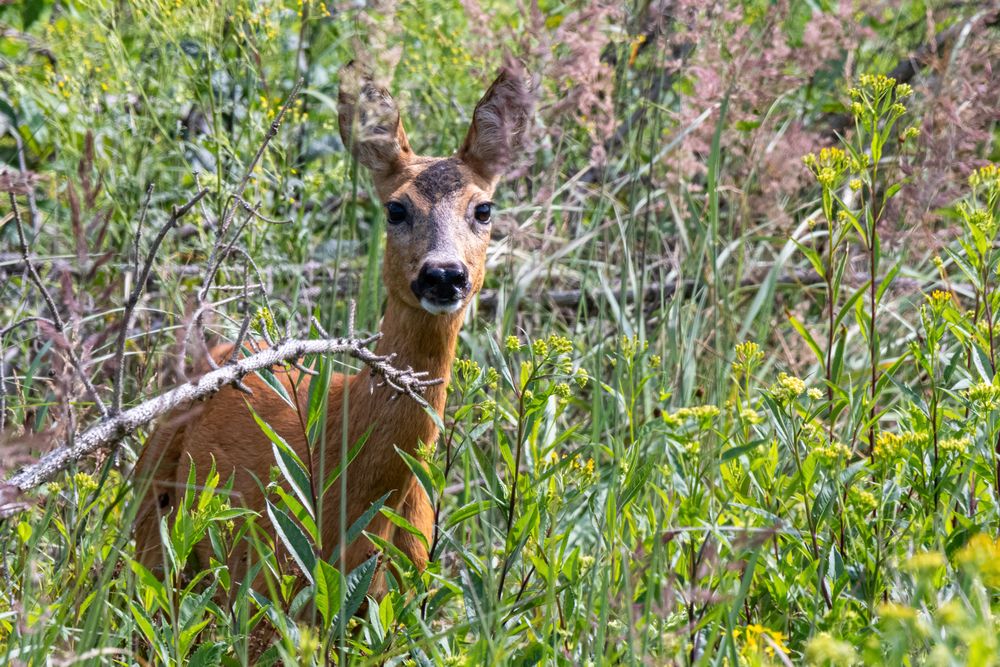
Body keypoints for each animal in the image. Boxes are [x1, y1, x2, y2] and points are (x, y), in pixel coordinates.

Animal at [137, 58, 536, 600]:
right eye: (396, 208)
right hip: (151, 518)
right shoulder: (271, 581)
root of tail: (215, 354)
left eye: (483, 209)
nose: (444, 274)